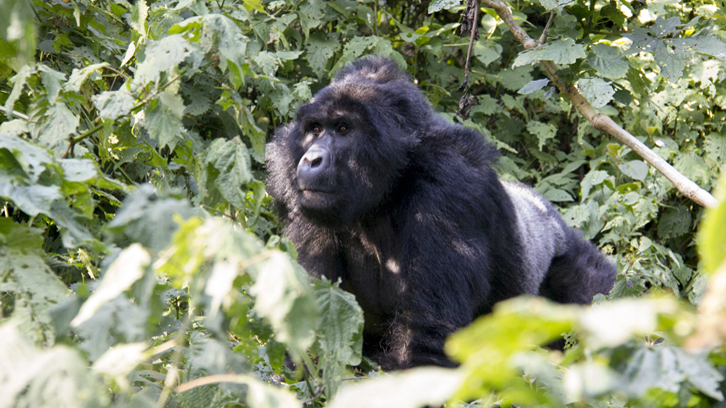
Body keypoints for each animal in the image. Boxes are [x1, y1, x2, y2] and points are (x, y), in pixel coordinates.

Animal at [264, 55, 616, 372]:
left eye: (342, 128)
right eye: (315, 129)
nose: (312, 159)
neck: (391, 183)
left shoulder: (450, 185)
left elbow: (428, 345)